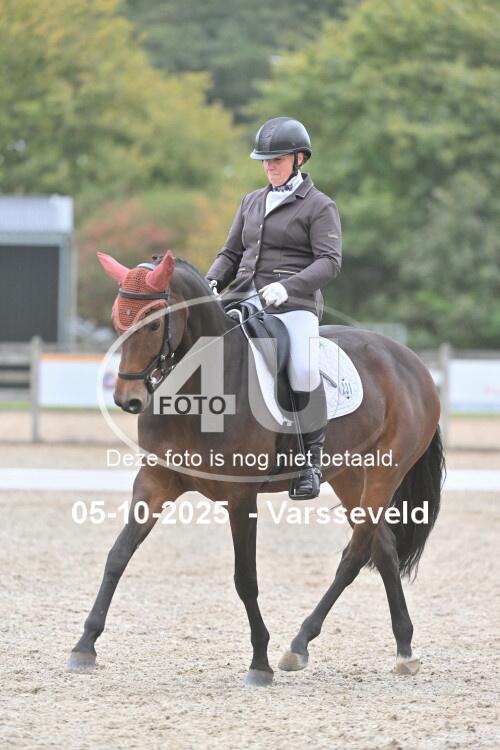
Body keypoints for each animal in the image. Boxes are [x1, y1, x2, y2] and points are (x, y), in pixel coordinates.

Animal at [68, 251, 445, 686]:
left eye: (154, 322)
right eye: (117, 321)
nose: (126, 398)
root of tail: (410, 360)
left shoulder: (240, 496)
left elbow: (245, 578)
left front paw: (259, 661)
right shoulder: (155, 481)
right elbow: (118, 554)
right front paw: (85, 645)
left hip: (387, 470)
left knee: (356, 552)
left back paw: (299, 644)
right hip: (349, 474)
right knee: (381, 547)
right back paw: (402, 648)